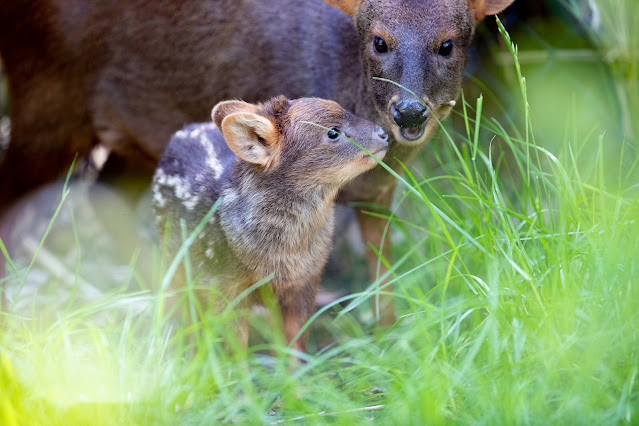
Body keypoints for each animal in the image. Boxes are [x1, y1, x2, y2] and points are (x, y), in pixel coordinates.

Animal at [0, 0, 516, 322]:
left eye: (448, 44)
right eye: (379, 41)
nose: (409, 112)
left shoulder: (379, 191)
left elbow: (383, 273)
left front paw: (387, 336)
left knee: (106, 193)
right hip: (48, 97)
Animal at [154, 96, 390, 352]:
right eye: (333, 132)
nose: (384, 133)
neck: (285, 255)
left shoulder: (306, 280)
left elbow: (296, 341)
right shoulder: (224, 285)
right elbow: (236, 347)